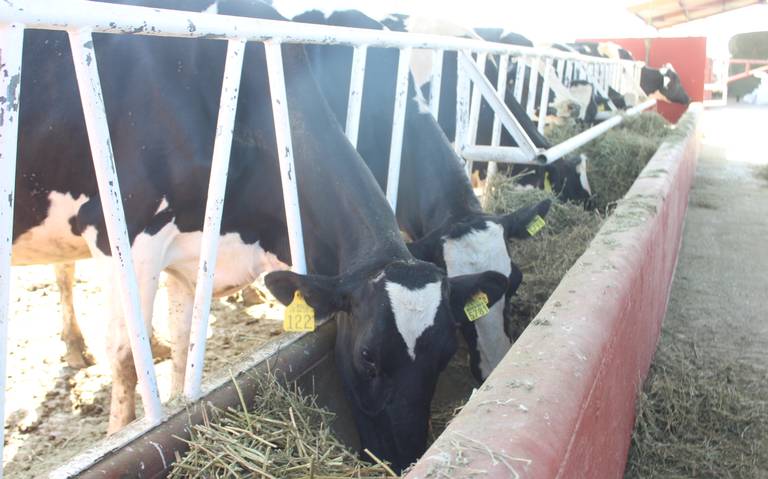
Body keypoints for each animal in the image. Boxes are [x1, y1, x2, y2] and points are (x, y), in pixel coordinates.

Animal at [14, 0, 510, 470]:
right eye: (368, 357)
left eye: (445, 352)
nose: (406, 457)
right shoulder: (125, 236)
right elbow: (124, 361)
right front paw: (122, 430)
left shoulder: (193, 251)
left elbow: (184, 349)